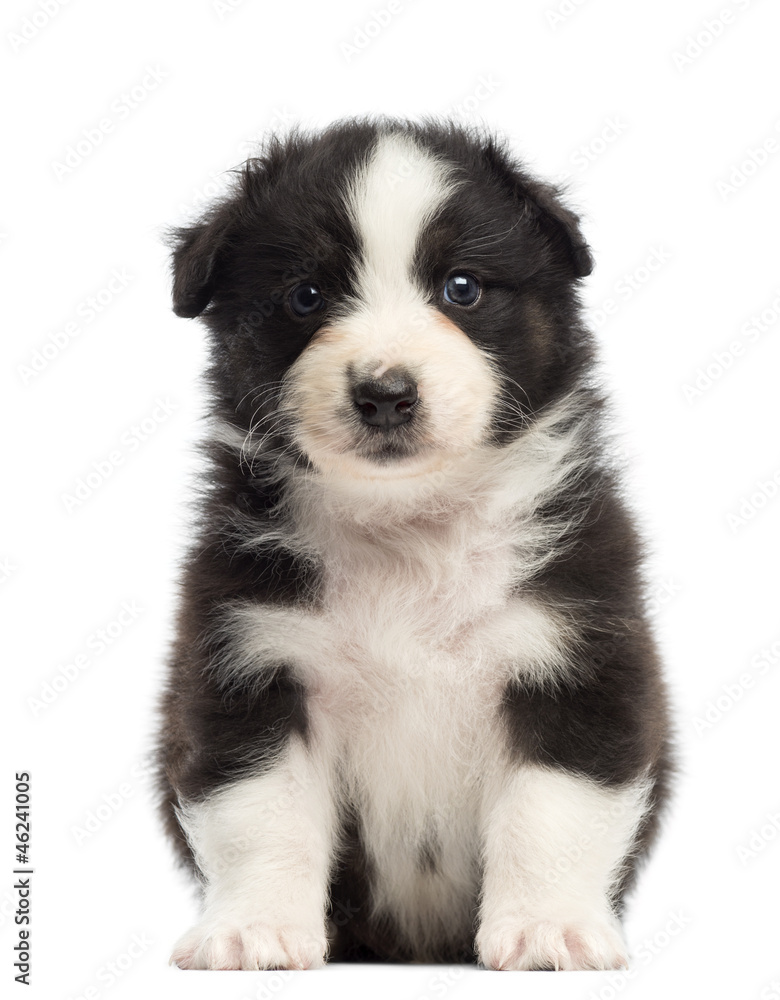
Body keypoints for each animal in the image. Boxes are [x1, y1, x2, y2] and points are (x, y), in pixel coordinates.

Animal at [157, 117, 672, 968]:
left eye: (462, 288)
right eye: (306, 295)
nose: (385, 394)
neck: (408, 528)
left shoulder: (572, 651)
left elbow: (555, 807)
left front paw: (547, 927)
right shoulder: (253, 656)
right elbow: (257, 808)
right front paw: (255, 928)